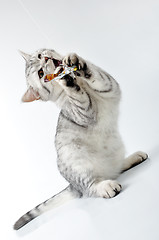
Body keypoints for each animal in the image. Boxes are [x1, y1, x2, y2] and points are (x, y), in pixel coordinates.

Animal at [13, 49, 148, 231]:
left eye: (40, 55)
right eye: (41, 74)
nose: (46, 58)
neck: (82, 84)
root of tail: (72, 185)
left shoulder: (110, 86)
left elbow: (97, 75)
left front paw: (75, 62)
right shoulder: (84, 112)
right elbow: (80, 98)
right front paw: (66, 79)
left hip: (117, 148)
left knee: (117, 168)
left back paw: (133, 158)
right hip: (78, 162)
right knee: (90, 188)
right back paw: (106, 186)